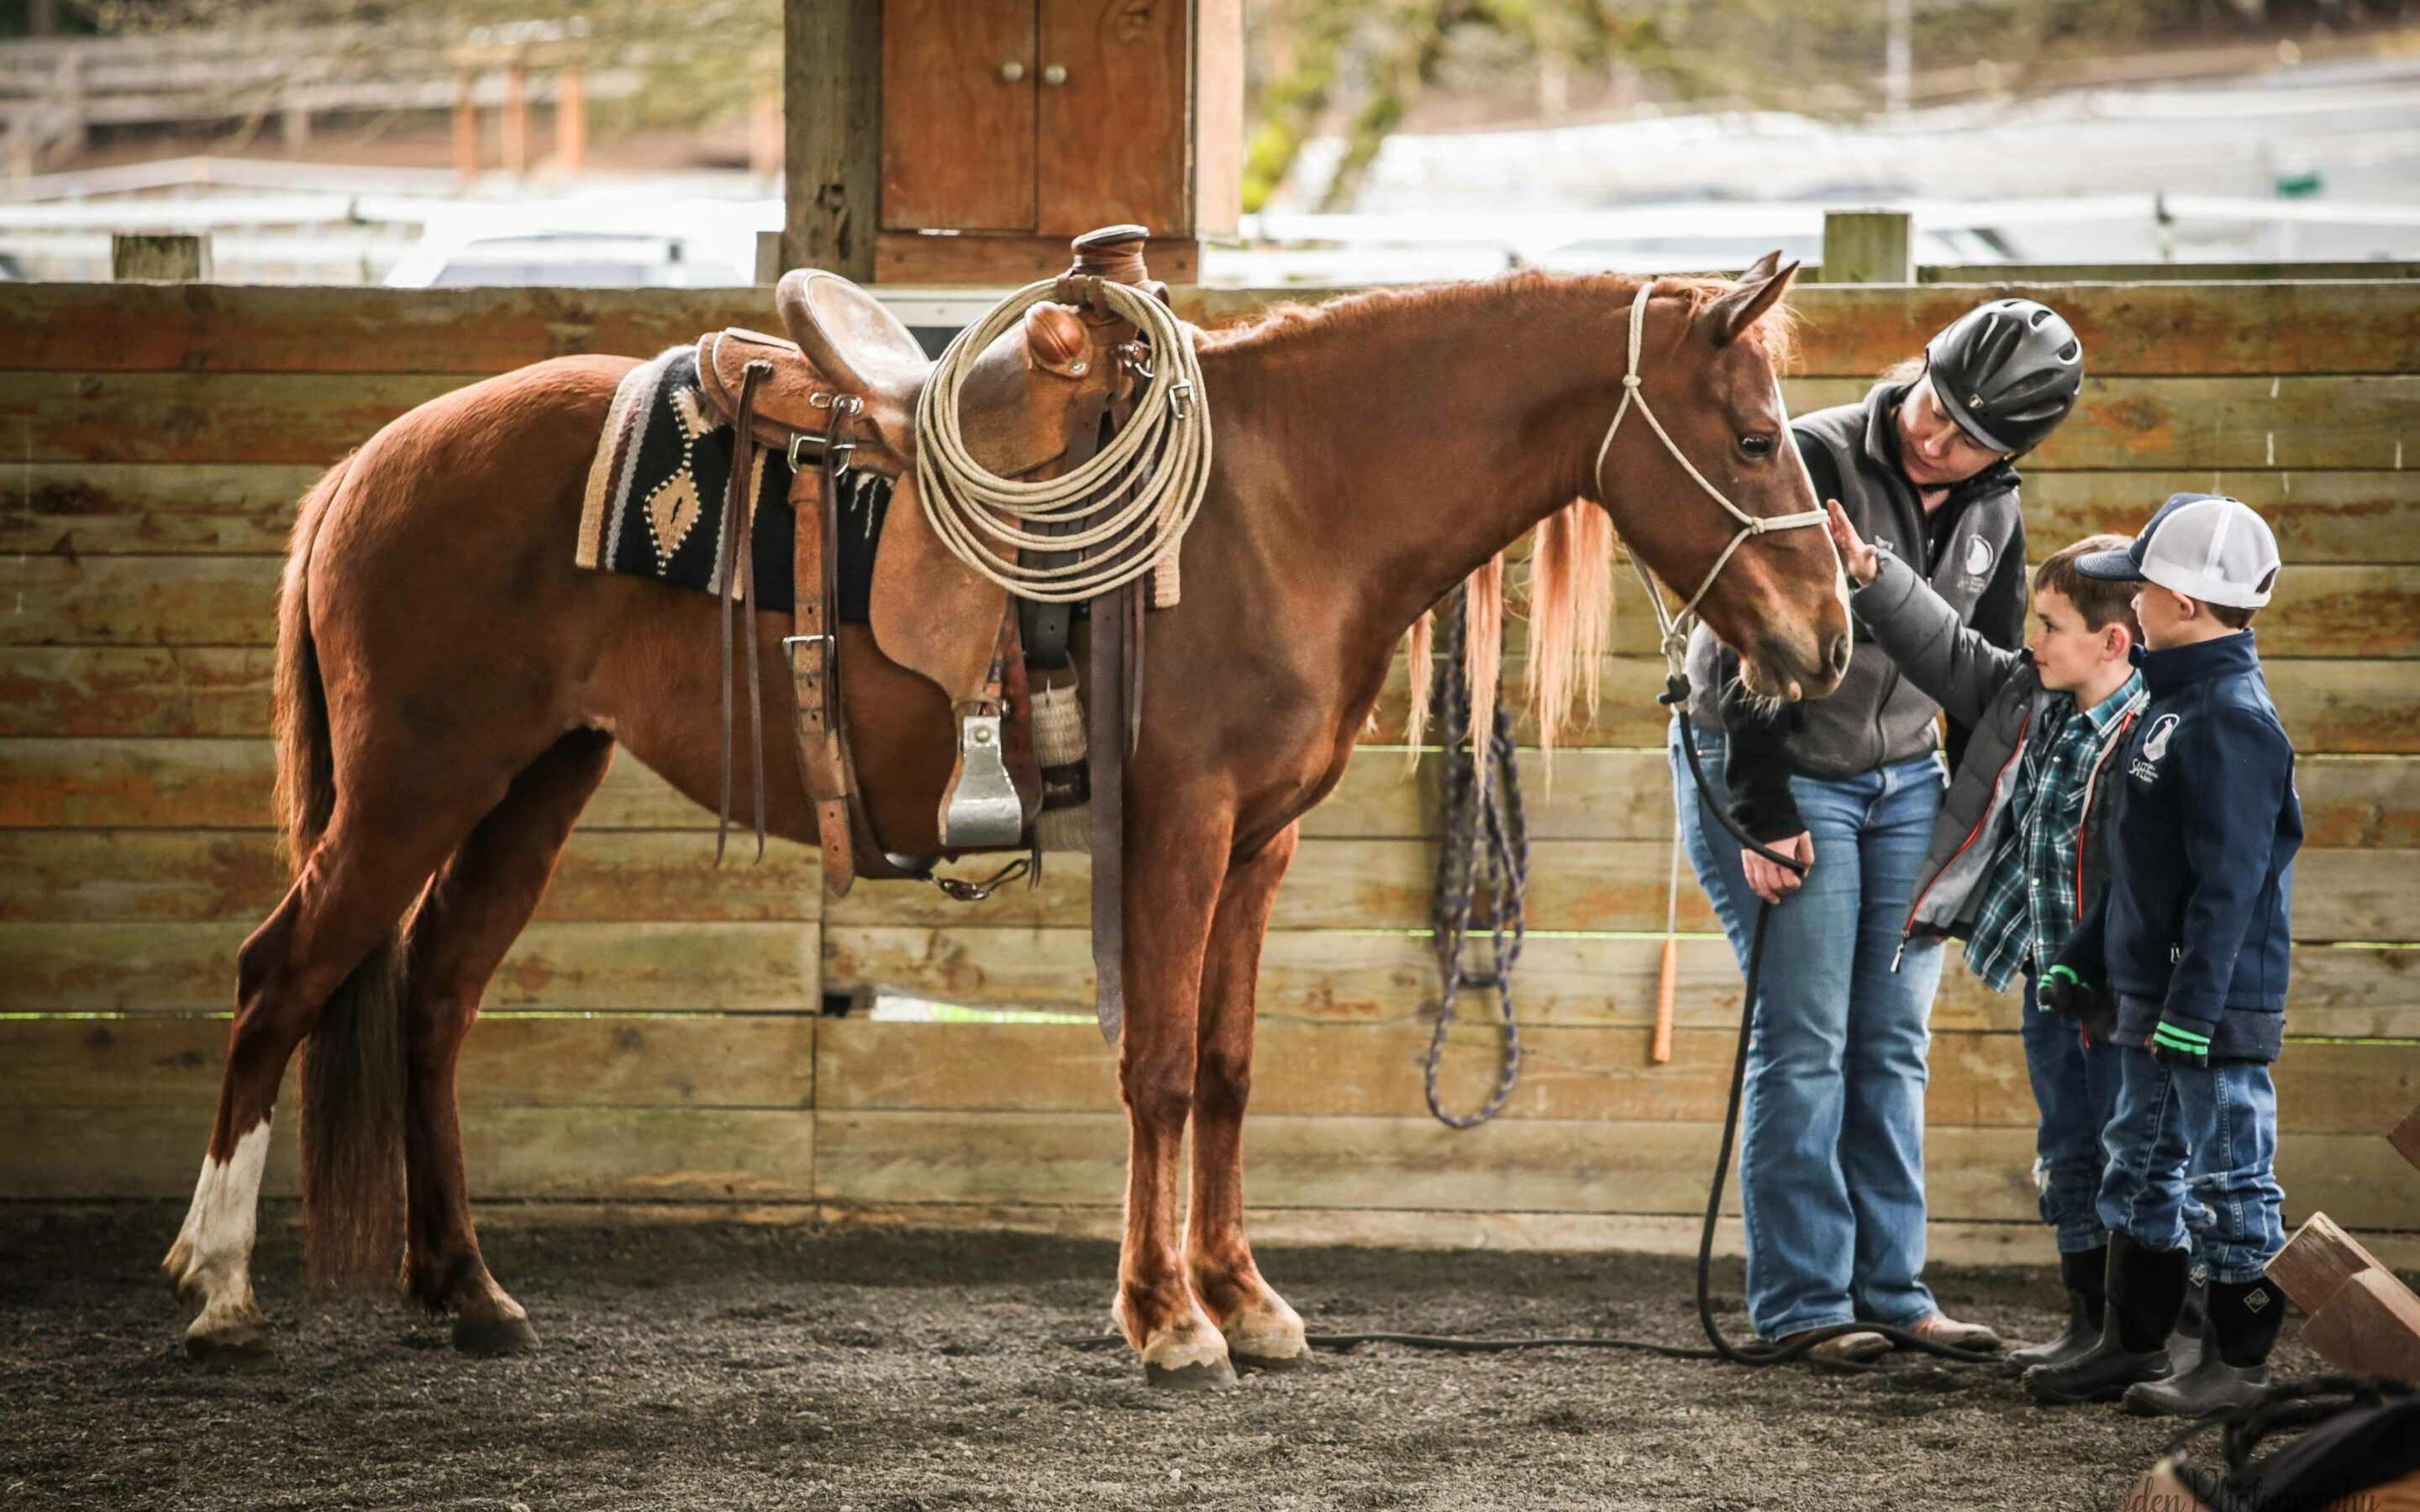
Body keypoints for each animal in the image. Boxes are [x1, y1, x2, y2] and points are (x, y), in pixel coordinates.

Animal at [160, 256, 1839, 1383]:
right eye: (1757, 440)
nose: (1830, 634)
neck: (1287, 503)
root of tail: (371, 465)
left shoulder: (1260, 845)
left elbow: (1228, 1070)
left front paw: (1245, 1301)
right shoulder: (1181, 828)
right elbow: (1157, 1069)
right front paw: (1165, 1322)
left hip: (530, 785)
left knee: (432, 1001)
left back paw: (468, 1291)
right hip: (412, 785)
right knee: (279, 979)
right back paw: (222, 1287)